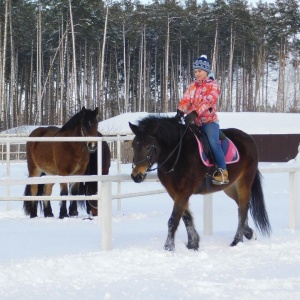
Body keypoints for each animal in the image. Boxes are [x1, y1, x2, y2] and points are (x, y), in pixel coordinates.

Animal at [129, 115, 272, 251]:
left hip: (245, 181)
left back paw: (237, 241)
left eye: (148, 147)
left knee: (243, 208)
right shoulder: (174, 192)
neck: (177, 154)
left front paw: (168, 248)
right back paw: (249, 233)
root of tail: (249, 138)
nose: (136, 176)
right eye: (133, 145)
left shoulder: (183, 192)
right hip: (230, 186)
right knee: (242, 206)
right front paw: (193, 244)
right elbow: (186, 217)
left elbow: (173, 220)